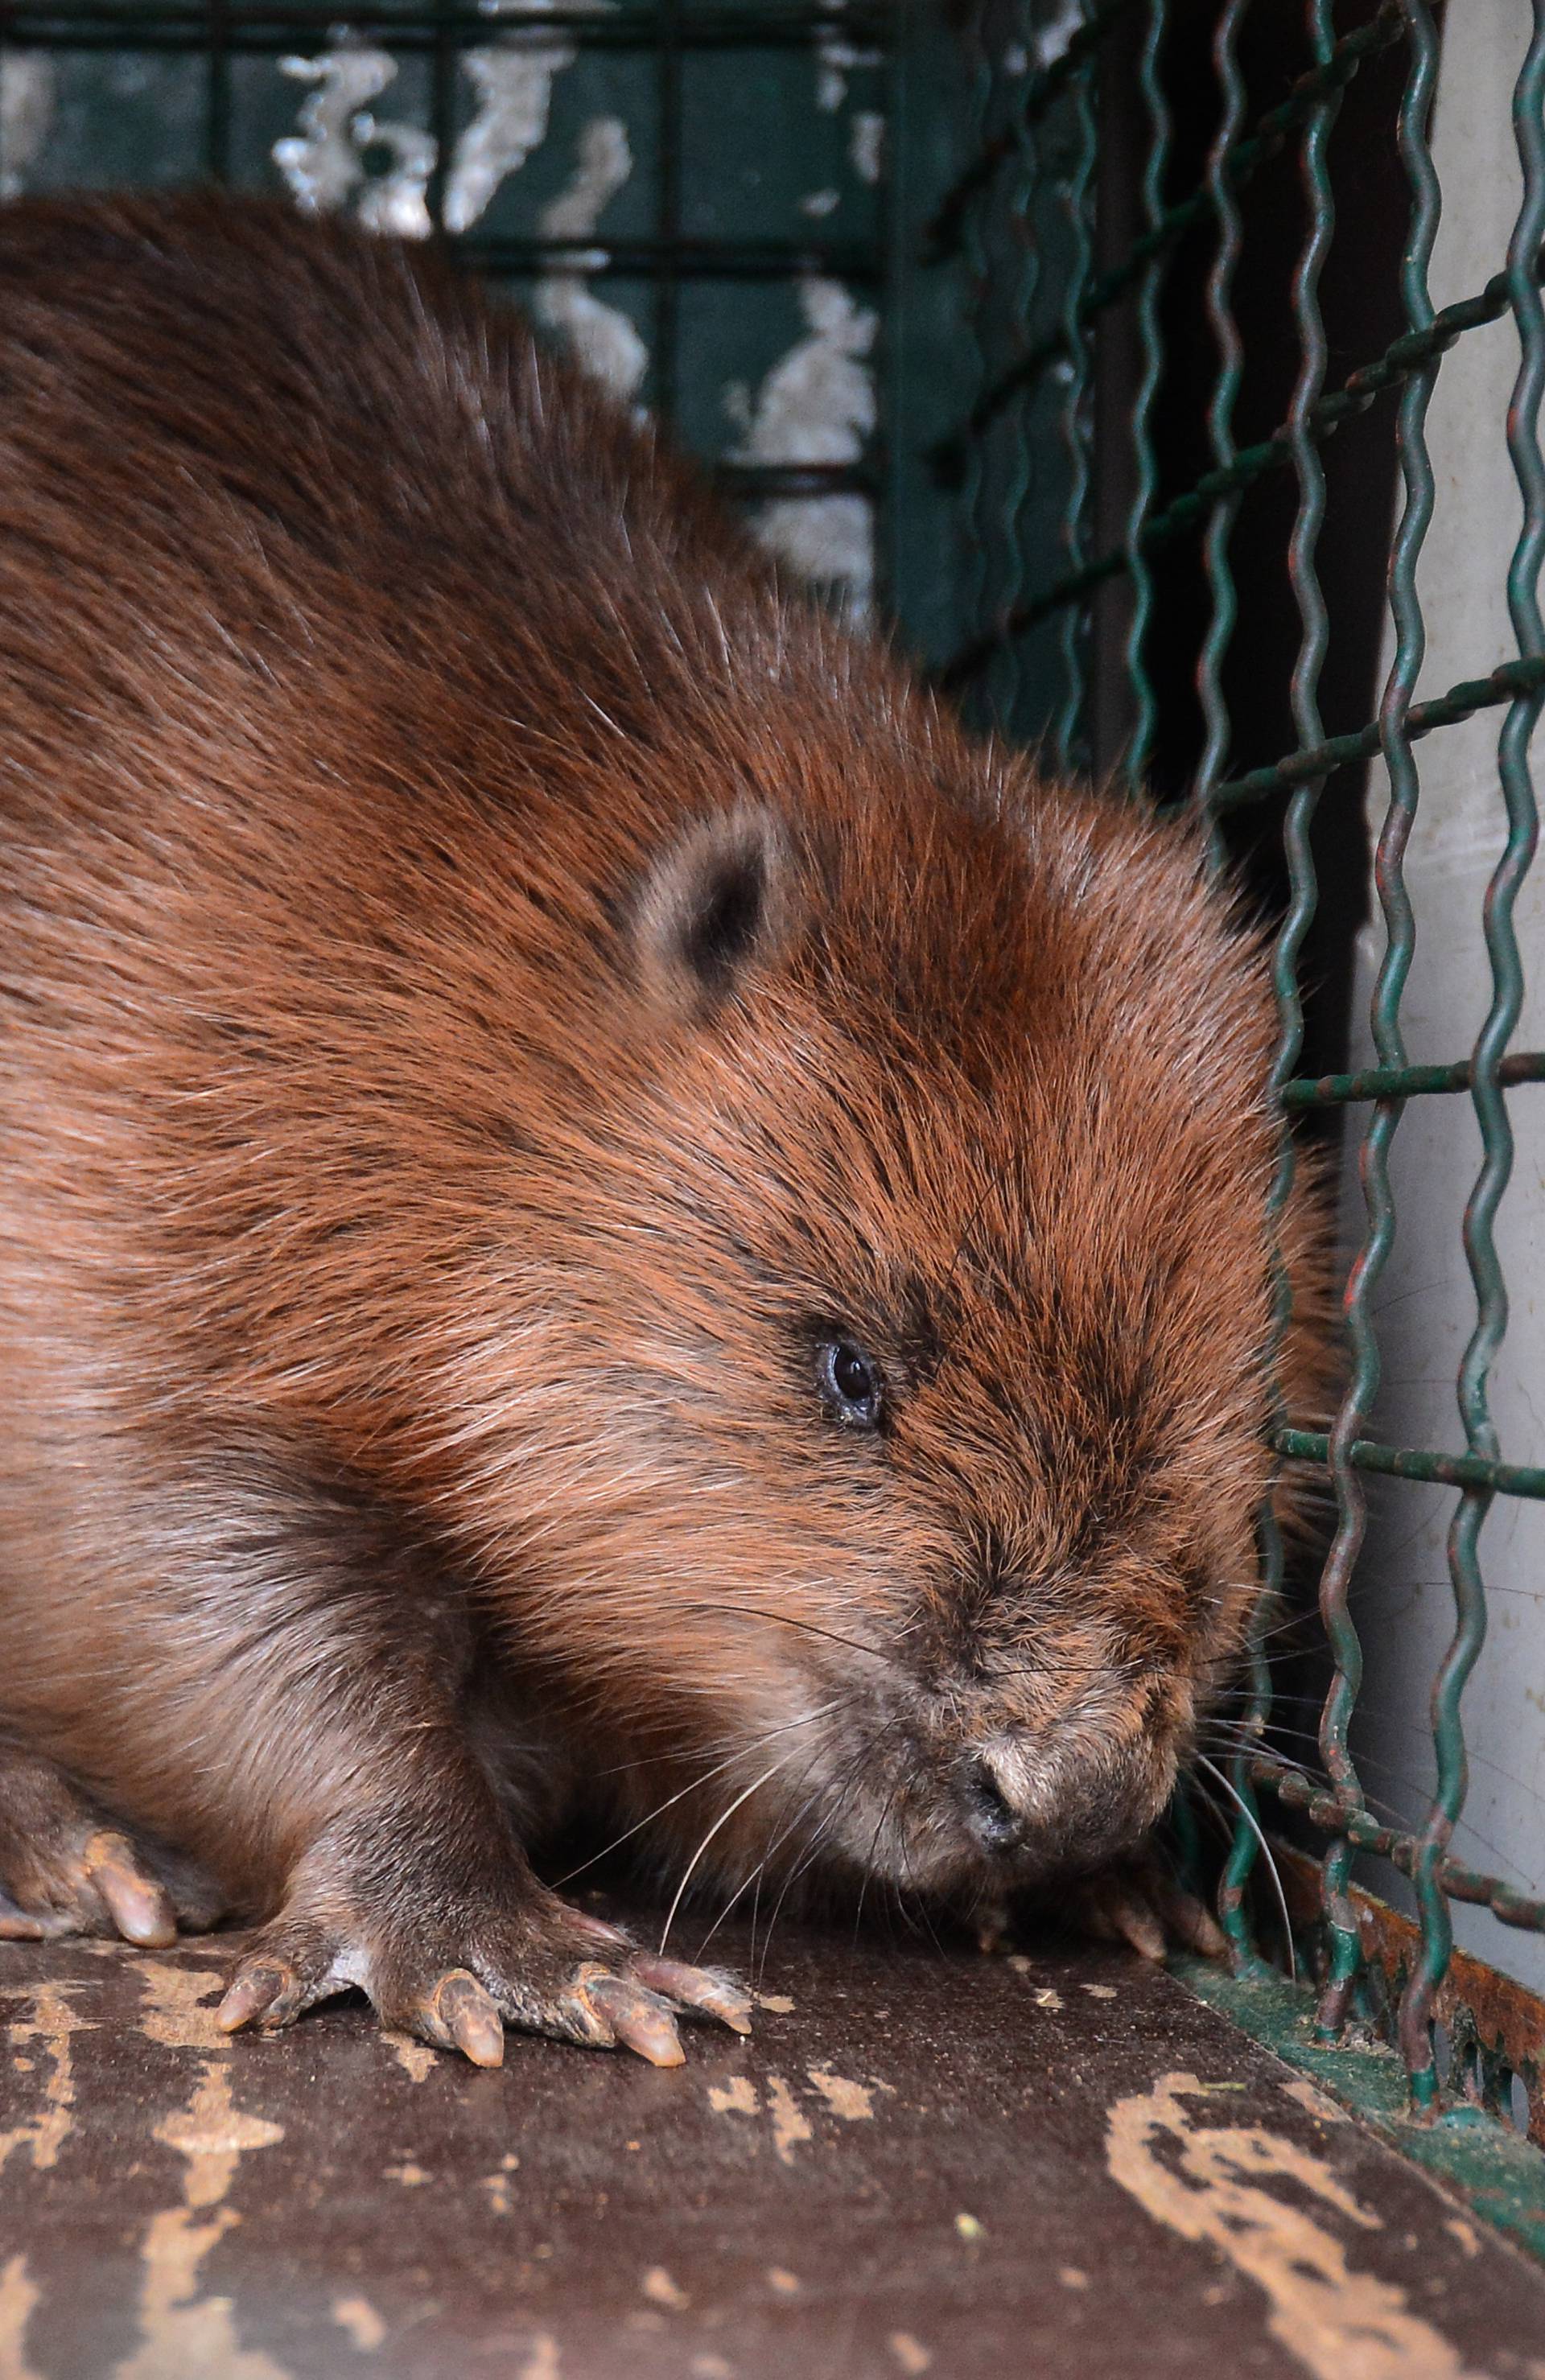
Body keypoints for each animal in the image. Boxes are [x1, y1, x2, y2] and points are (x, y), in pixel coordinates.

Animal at [0, 200, 1323, 2065]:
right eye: (847, 1366)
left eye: (1254, 1372)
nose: (1060, 1787)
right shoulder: (142, 1136)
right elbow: (196, 1565)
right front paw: (508, 1951)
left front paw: (1114, 1894)